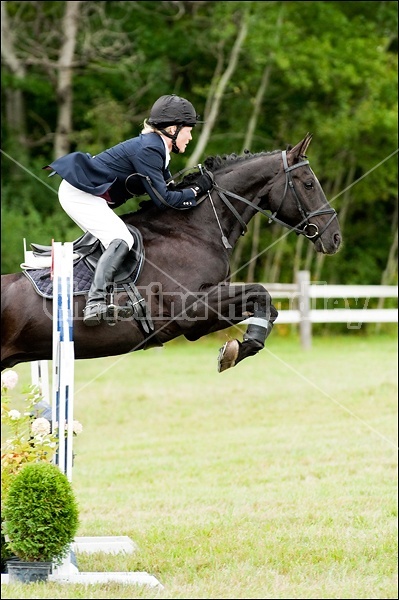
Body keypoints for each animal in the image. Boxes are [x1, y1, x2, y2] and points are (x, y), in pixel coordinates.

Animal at [1, 134, 342, 372]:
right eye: (309, 184)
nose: (335, 237)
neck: (193, 229)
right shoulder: (190, 309)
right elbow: (261, 291)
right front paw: (235, 351)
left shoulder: (197, 322)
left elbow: (266, 305)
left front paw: (239, 349)